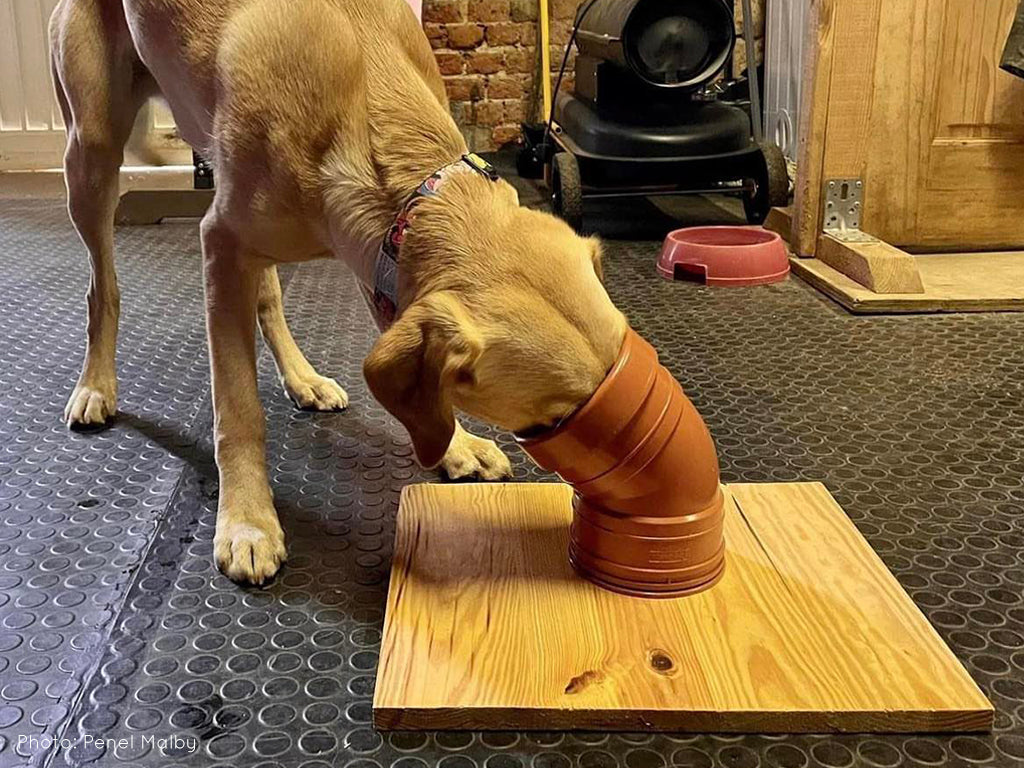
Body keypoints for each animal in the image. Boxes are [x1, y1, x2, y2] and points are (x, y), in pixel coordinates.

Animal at [51, 0, 626, 581]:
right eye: (554, 421)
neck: (366, 99)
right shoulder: (222, 243)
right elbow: (238, 410)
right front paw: (247, 521)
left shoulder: (375, 259)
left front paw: (456, 446)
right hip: (91, 153)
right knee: (102, 290)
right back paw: (95, 386)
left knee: (266, 296)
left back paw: (303, 379)